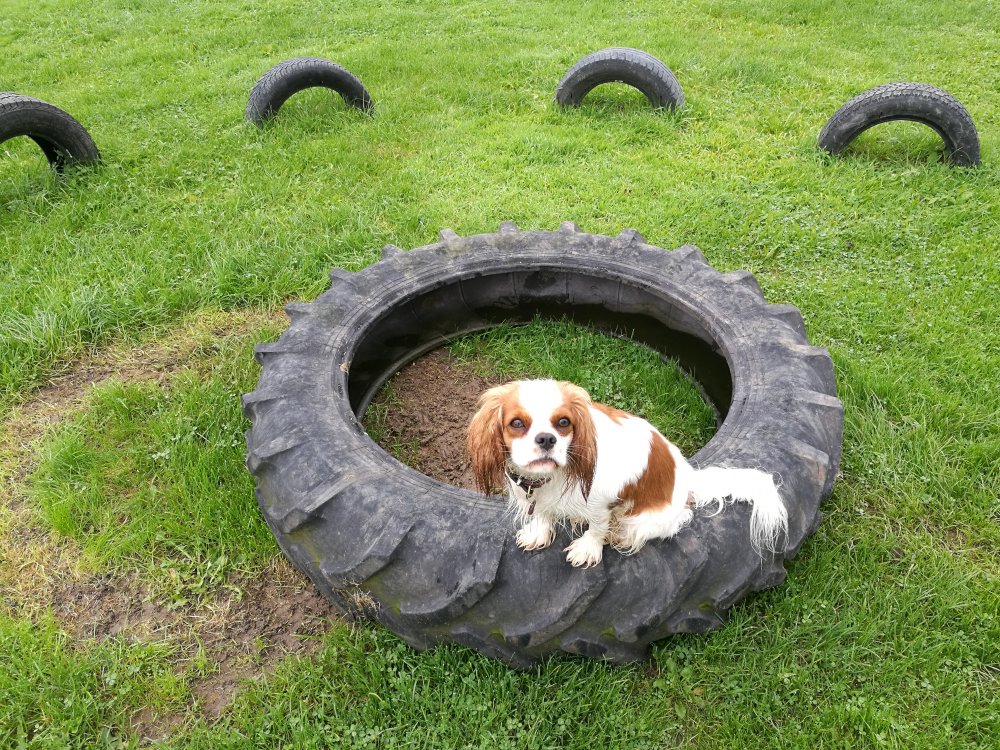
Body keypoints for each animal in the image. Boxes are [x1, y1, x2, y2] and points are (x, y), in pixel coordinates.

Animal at [468, 382, 788, 568]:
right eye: (517, 423)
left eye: (563, 423)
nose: (546, 439)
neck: (556, 475)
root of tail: (687, 475)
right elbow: (544, 513)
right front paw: (539, 531)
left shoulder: (600, 502)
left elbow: (597, 527)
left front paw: (588, 548)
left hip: (646, 519)